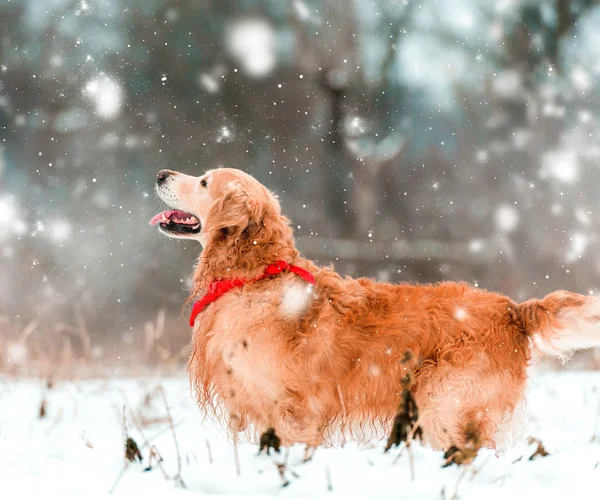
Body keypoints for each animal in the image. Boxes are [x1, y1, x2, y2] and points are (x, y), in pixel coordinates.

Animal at [150, 167, 600, 458]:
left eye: (204, 181)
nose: (160, 174)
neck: (254, 274)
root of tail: (514, 310)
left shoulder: (290, 410)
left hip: (443, 406)